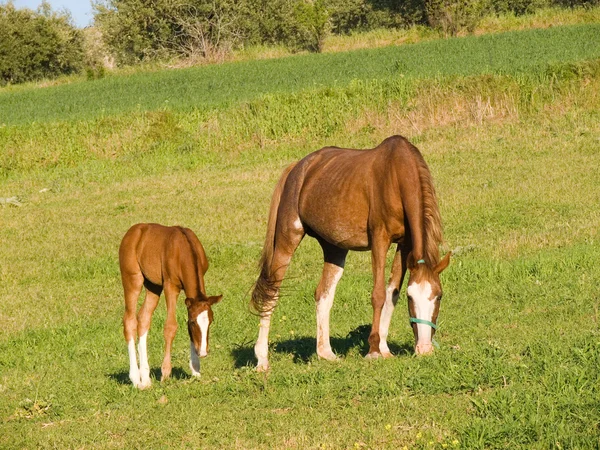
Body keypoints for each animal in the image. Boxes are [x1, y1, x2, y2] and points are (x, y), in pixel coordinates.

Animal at [118, 223, 221, 388]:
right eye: (193, 322)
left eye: (211, 321)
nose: (203, 352)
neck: (183, 248)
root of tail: (132, 231)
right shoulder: (170, 286)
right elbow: (170, 326)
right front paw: (165, 372)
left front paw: (195, 370)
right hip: (133, 279)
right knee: (129, 320)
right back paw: (135, 379)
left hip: (153, 286)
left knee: (143, 318)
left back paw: (146, 379)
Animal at [250, 135, 450, 370]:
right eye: (411, 298)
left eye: (439, 296)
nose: (425, 349)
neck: (396, 174)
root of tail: (297, 168)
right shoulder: (380, 239)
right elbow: (379, 294)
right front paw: (373, 350)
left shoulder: (405, 245)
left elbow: (391, 293)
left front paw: (384, 348)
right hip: (287, 239)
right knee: (271, 293)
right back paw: (262, 359)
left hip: (334, 248)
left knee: (323, 294)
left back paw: (325, 353)